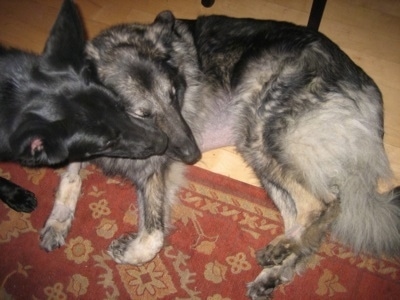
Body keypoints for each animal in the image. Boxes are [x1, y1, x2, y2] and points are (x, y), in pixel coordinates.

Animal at [41, 10, 400, 298]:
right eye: (143, 113)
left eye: (175, 94)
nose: (192, 155)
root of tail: (366, 86)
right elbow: (70, 177)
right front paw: (58, 221)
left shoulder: (156, 166)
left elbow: (154, 235)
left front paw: (128, 251)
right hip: (265, 159)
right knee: (308, 221)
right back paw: (275, 270)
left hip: (259, 135)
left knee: (323, 204)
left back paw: (282, 250)